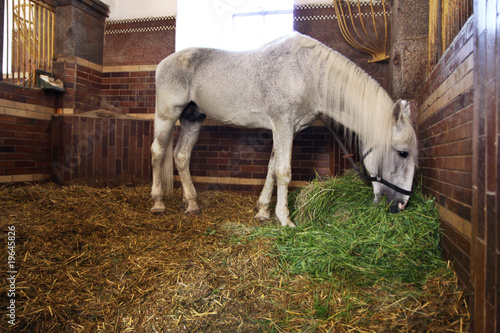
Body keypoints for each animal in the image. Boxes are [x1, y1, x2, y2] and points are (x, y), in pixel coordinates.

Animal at [149, 32, 418, 227]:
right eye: (402, 153)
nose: (400, 206)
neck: (308, 74)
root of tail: (164, 63)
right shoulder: (283, 126)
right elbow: (284, 172)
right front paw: (285, 218)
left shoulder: (285, 129)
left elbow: (271, 169)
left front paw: (263, 212)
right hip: (167, 115)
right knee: (158, 152)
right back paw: (158, 203)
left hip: (193, 118)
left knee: (181, 156)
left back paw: (192, 205)